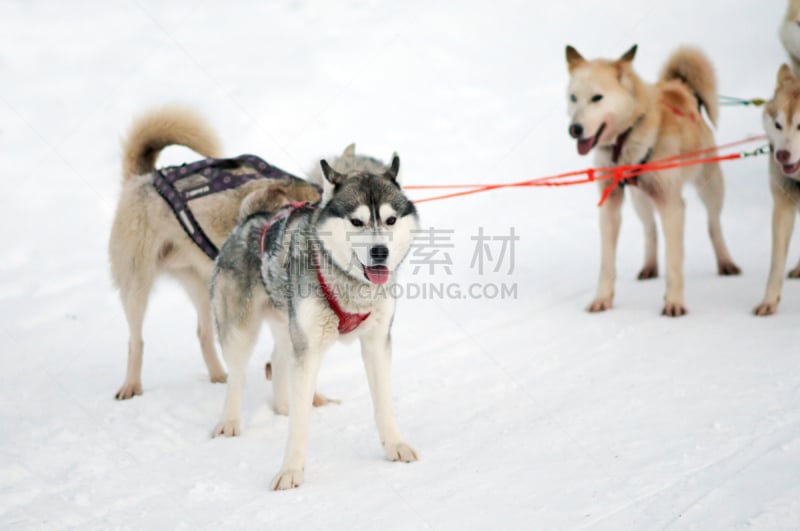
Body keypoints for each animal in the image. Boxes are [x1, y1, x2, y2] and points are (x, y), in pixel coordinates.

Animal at [110, 108, 322, 400]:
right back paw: (131, 385)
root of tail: (143, 178)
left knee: (203, 334)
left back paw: (219, 376)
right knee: (136, 340)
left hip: (203, 287)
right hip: (137, 287)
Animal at [209, 145, 422, 490]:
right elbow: (300, 423)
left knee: (278, 359)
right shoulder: (308, 349)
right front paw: (291, 470)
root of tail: (249, 220)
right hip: (241, 329)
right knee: (237, 376)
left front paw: (395, 445)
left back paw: (283, 406)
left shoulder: (376, 342)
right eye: (357, 221)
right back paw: (230, 421)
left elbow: (383, 403)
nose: (380, 252)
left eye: (391, 220)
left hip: (288, 324)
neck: (348, 285)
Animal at [564, 44, 740, 316]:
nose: (575, 129)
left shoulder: (672, 205)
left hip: (710, 185)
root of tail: (679, 87)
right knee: (650, 229)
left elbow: (675, 261)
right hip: (641, 200)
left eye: (597, 98)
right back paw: (649, 265)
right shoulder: (610, 205)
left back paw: (725, 261)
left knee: (714, 224)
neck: (626, 140)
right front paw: (602, 298)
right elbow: (607, 262)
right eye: (573, 98)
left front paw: (674, 302)